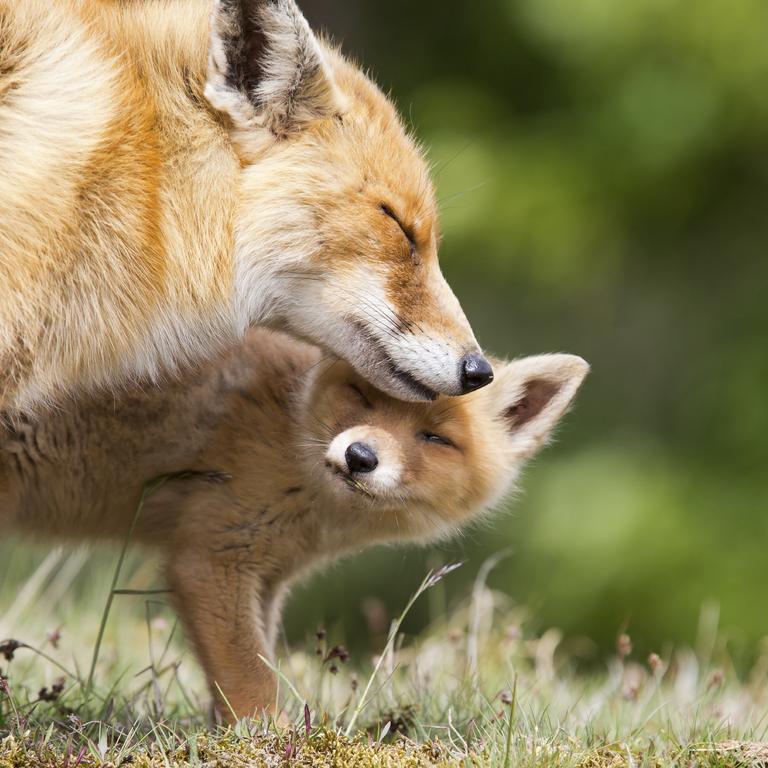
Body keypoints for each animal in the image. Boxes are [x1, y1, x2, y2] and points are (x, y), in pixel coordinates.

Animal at [0, 330, 588, 720]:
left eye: (435, 438)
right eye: (363, 396)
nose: (360, 456)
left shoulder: (266, 577)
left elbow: (254, 666)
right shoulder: (210, 561)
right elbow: (253, 679)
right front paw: (267, 740)